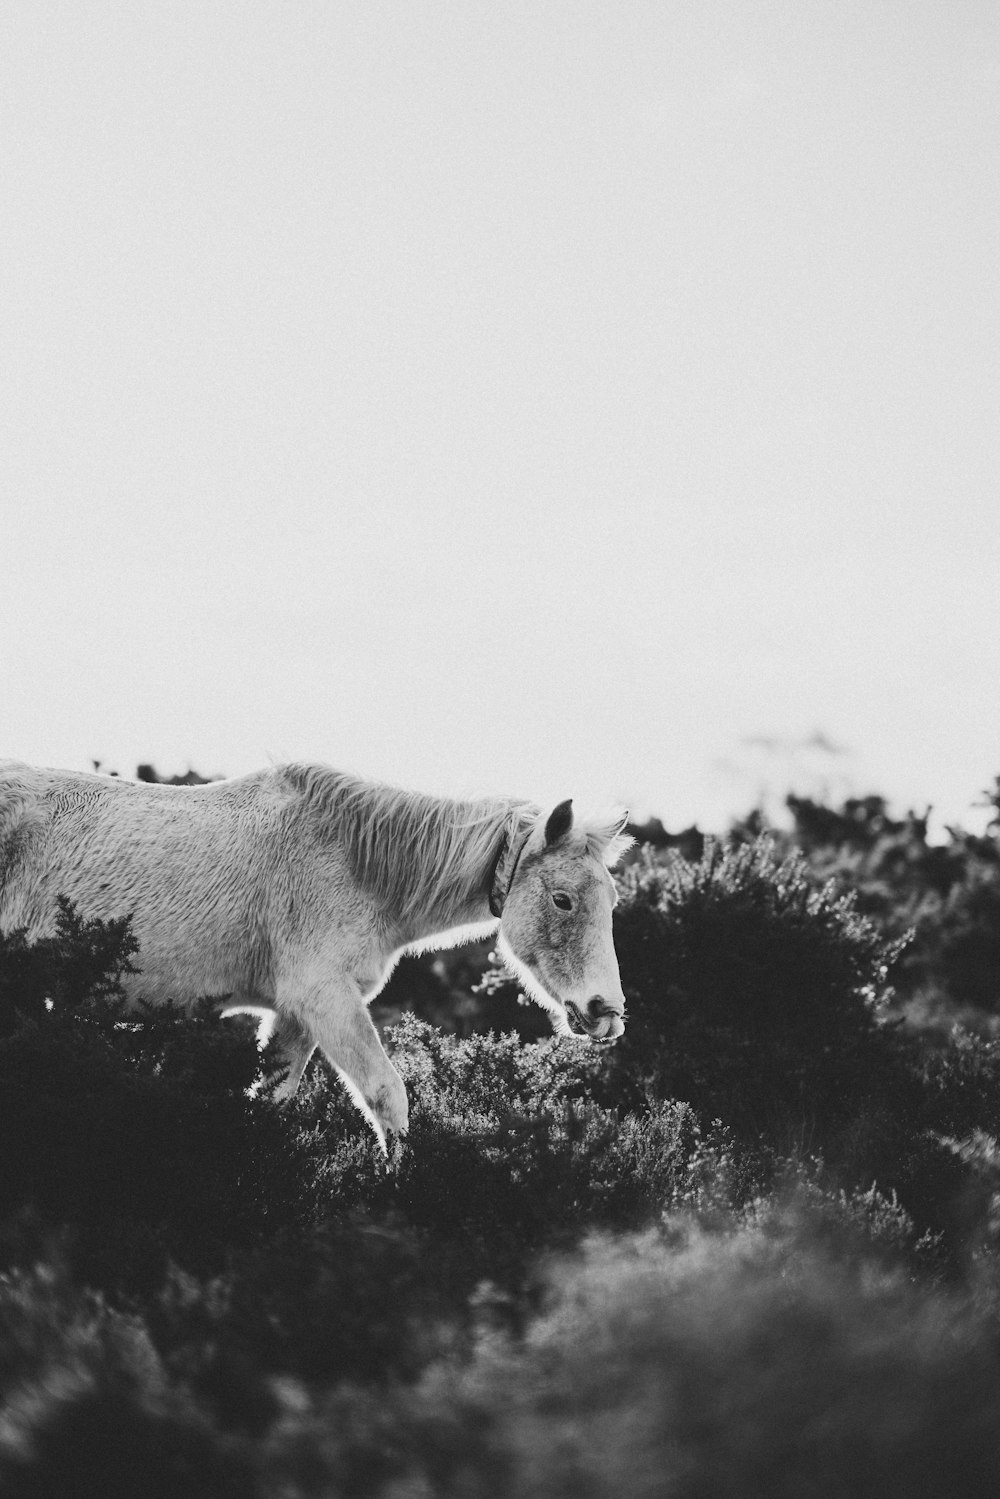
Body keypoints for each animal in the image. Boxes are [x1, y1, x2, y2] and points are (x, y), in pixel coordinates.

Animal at [0, 761, 632, 1145]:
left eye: (614, 898)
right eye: (563, 900)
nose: (606, 1013)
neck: (355, 863)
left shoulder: (297, 1016)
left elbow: (271, 1101)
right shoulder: (326, 1000)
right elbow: (387, 1098)